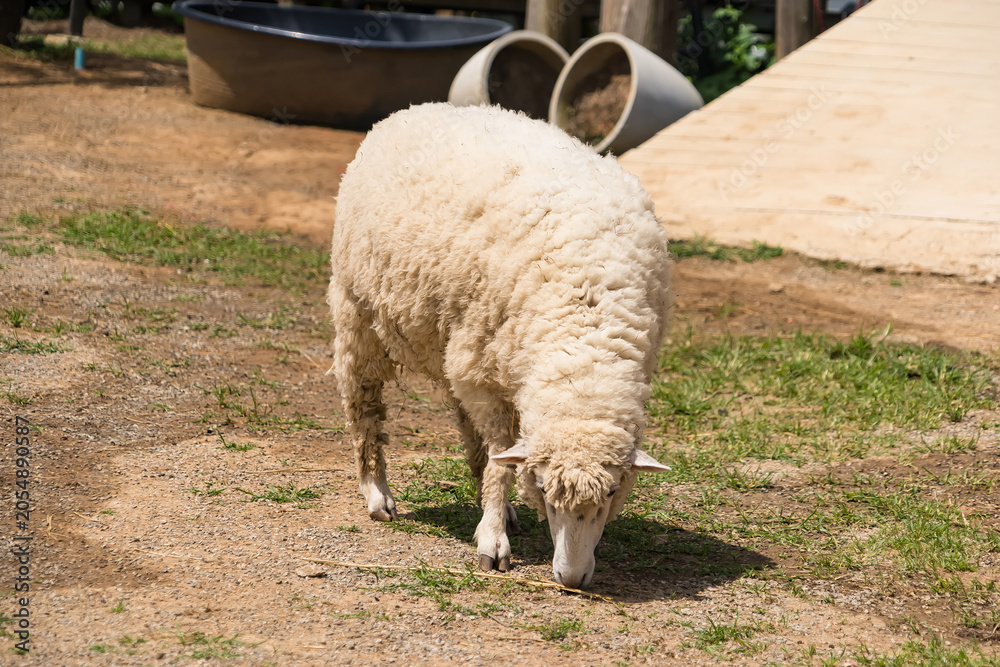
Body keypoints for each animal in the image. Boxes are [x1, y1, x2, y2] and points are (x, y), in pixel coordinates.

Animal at [328, 102, 672, 589]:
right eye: (543, 489)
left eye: (611, 491)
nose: (571, 578)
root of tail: (418, 108)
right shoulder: (481, 377)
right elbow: (498, 463)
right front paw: (492, 540)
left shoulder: (479, 370)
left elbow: (497, 458)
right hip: (360, 314)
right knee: (364, 410)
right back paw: (377, 492)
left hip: (456, 345)